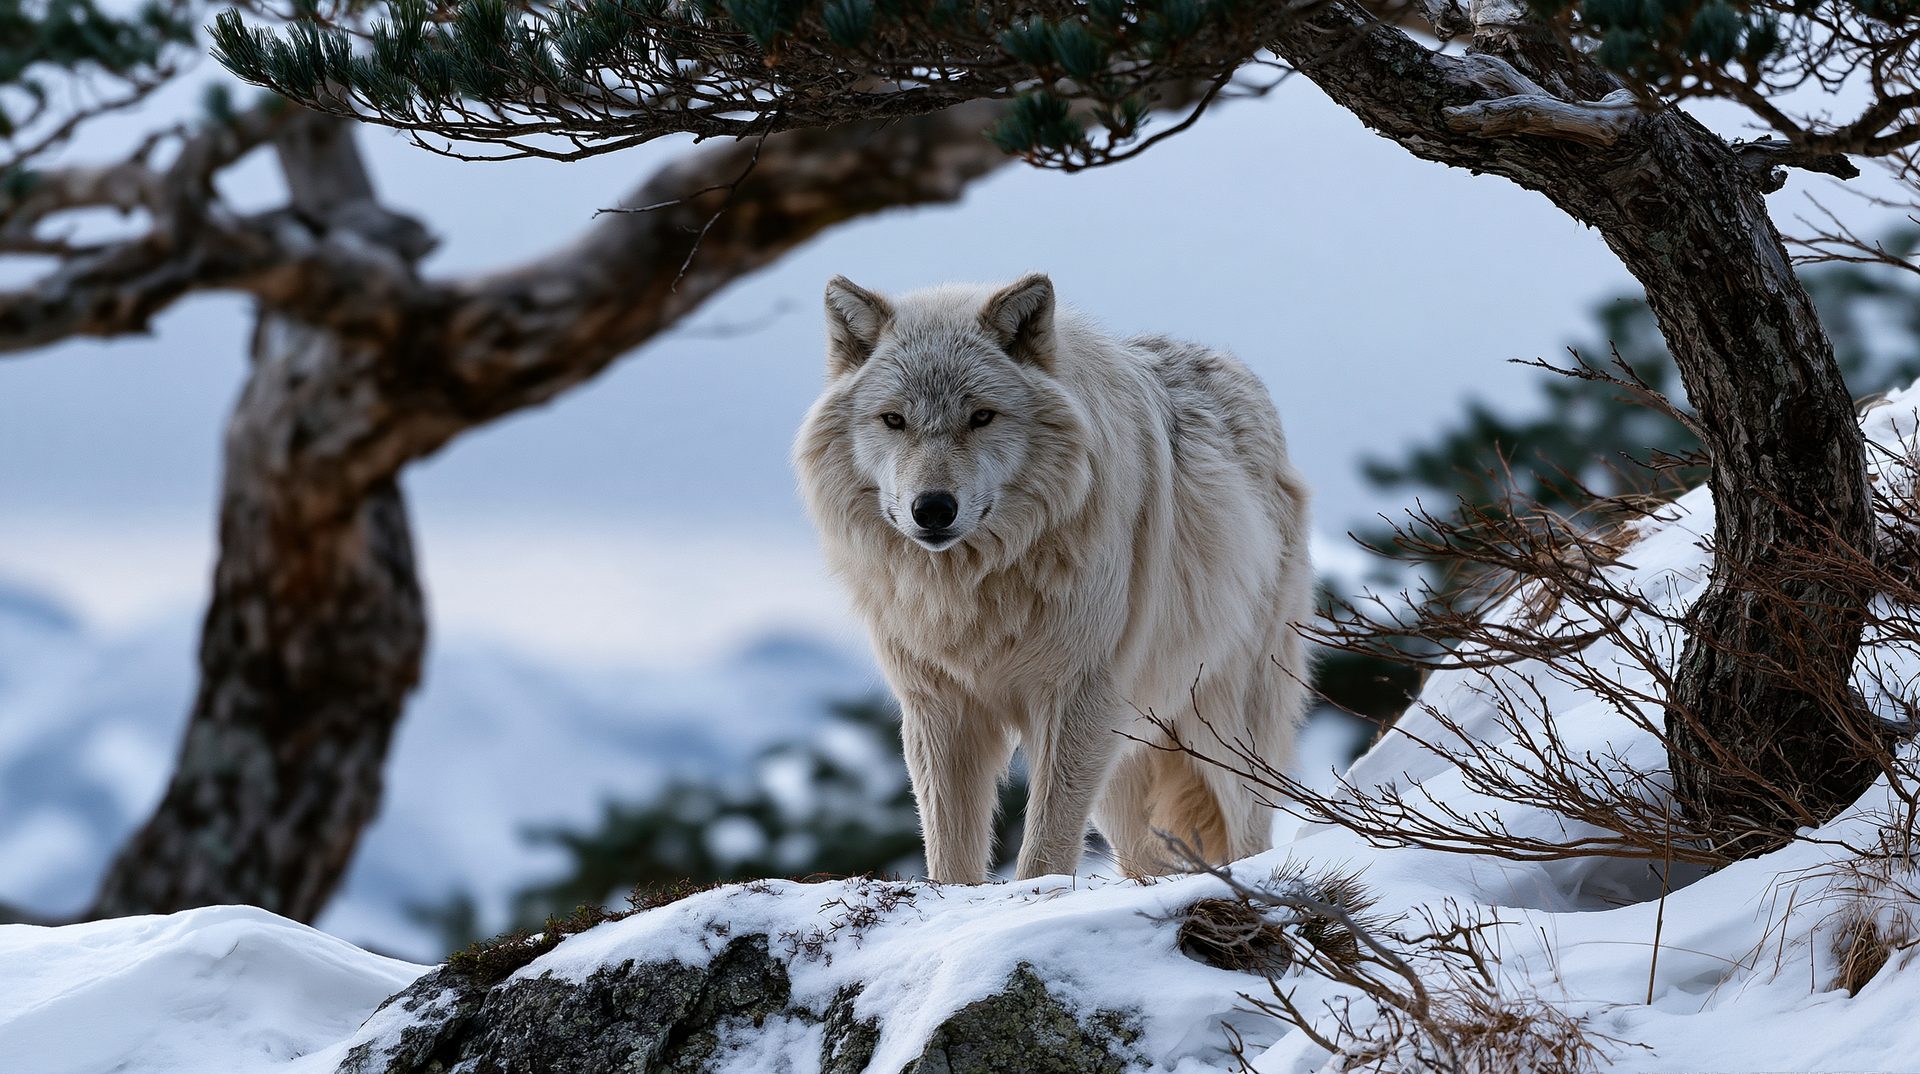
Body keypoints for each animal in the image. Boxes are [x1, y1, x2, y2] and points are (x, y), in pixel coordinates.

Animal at [794, 273, 1313, 884]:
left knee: (1248, 834)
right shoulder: (939, 708)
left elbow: (1044, 846)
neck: (976, 587)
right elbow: (949, 854)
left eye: (982, 416)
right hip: (1126, 765)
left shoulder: (1076, 696)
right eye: (894, 420)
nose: (933, 509)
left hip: (1221, 730)